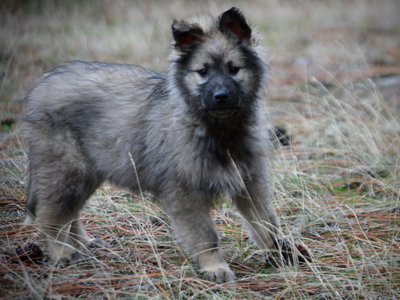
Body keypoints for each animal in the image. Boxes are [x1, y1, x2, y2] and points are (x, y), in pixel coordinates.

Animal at [23, 7, 284, 284]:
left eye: (233, 69)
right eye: (203, 72)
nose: (220, 96)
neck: (217, 130)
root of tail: (42, 86)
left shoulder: (249, 183)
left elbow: (265, 223)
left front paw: (281, 254)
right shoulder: (185, 194)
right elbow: (206, 236)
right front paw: (215, 267)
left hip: (85, 173)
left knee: (69, 213)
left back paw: (82, 243)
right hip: (66, 170)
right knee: (51, 216)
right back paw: (62, 253)